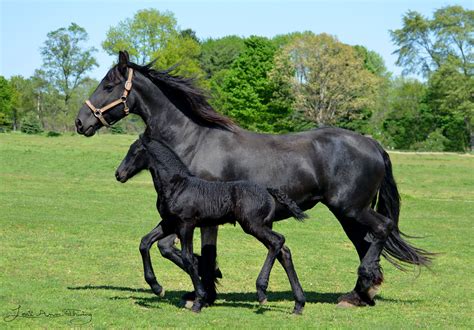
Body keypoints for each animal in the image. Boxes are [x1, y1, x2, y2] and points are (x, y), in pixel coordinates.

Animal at [115, 133, 308, 312]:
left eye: (135, 152)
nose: (119, 174)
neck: (177, 186)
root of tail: (267, 190)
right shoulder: (169, 223)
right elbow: (145, 243)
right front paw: (157, 288)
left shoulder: (186, 225)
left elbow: (187, 258)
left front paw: (198, 300)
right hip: (263, 226)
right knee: (283, 251)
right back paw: (298, 304)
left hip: (254, 226)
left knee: (277, 241)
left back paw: (262, 292)